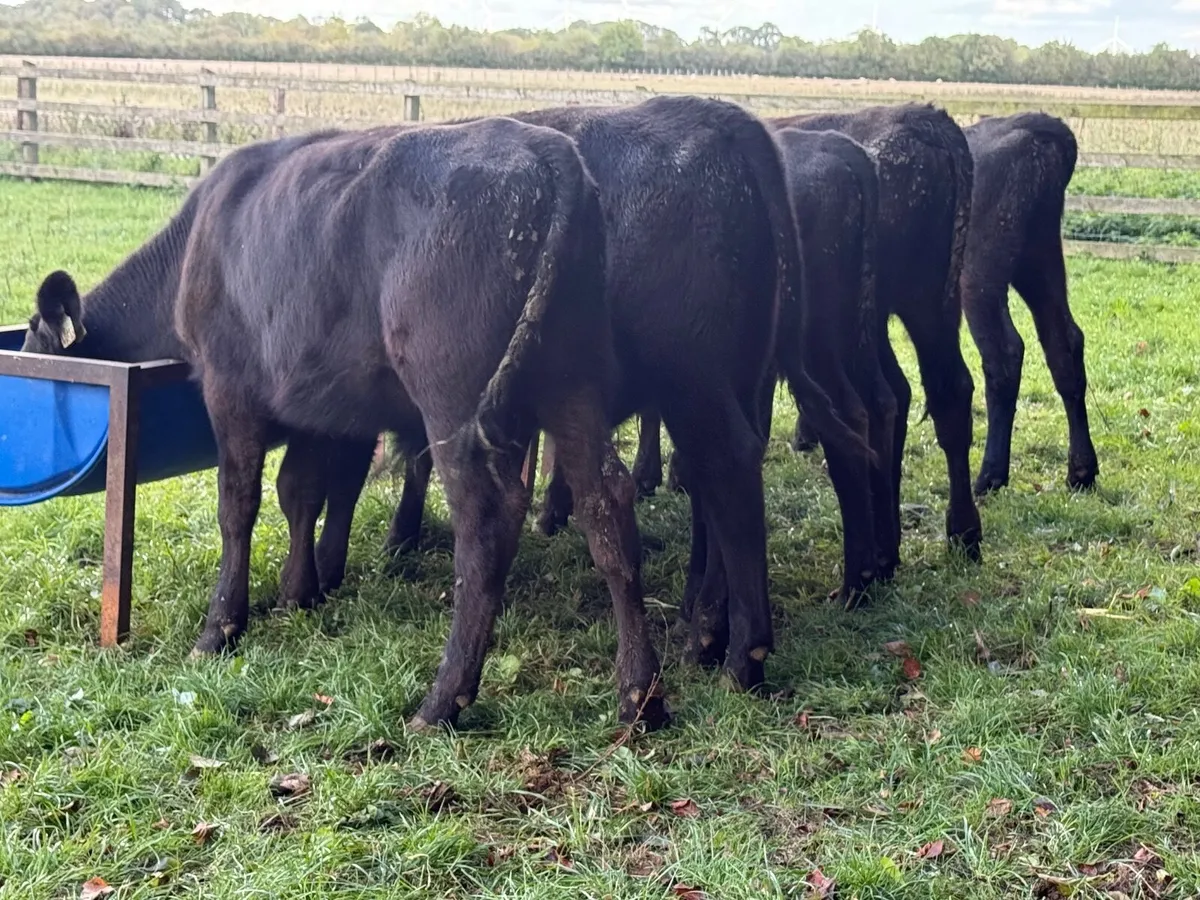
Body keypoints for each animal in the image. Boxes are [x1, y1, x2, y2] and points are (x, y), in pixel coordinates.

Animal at [23, 118, 669, 732]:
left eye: (32, 342)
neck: (193, 247)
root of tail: (547, 151)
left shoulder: (230, 390)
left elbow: (239, 507)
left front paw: (220, 629)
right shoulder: (313, 402)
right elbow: (302, 492)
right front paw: (298, 592)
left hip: (453, 394)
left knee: (485, 523)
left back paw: (442, 703)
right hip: (572, 383)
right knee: (606, 505)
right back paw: (639, 696)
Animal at [960, 112, 1098, 495]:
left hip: (979, 275)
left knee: (1004, 353)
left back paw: (989, 475)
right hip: (1039, 256)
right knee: (1064, 343)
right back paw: (1081, 470)